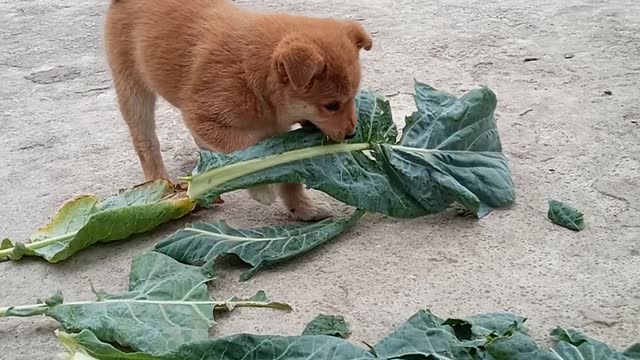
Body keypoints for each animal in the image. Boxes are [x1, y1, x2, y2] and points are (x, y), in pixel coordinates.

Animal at [105, 0, 372, 219]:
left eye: (352, 98)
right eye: (331, 105)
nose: (351, 134)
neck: (254, 77)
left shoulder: (279, 134)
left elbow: (287, 175)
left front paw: (303, 208)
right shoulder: (206, 120)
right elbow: (249, 152)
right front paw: (260, 189)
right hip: (132, 88)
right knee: (145, 141)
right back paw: (157, 183)